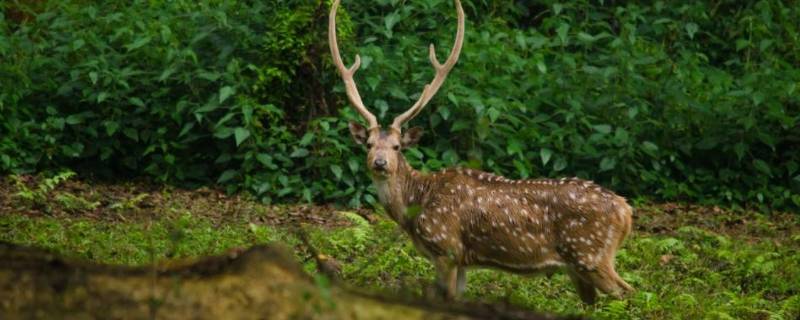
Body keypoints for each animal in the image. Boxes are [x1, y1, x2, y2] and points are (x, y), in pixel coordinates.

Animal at [328, 0, 636, 304]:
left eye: (397, 146)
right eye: (368, 144)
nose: (380, 163)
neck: (415, 208)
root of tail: (626, 210)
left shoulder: (447, 248)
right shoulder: (462, 261)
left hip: (590, 254)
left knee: (627, 293)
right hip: (581, 267)